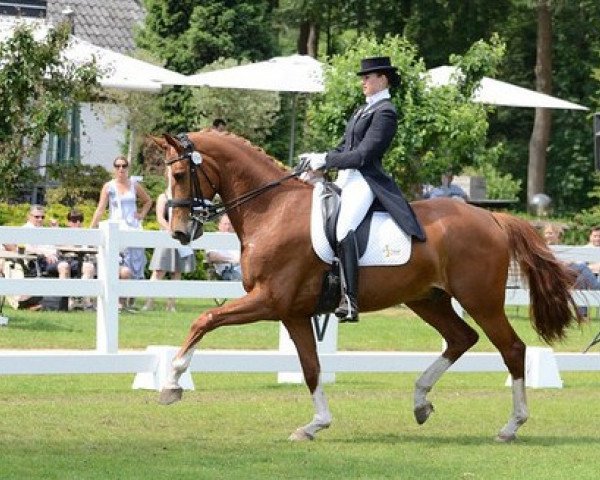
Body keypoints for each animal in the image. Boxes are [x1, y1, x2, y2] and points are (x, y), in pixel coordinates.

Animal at [151, 130, 580, 442]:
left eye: (179, 176)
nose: (179, 233)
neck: (272, 209)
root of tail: (492, 218)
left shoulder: (269, 300)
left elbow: (205, 320)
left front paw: (172, 383)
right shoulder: (292, 312)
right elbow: (311, 367)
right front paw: (315, 425)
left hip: (480, 300)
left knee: (512, 349)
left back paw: (511, 425)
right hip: (428, 299)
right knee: (461, 338)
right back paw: (420, 402)